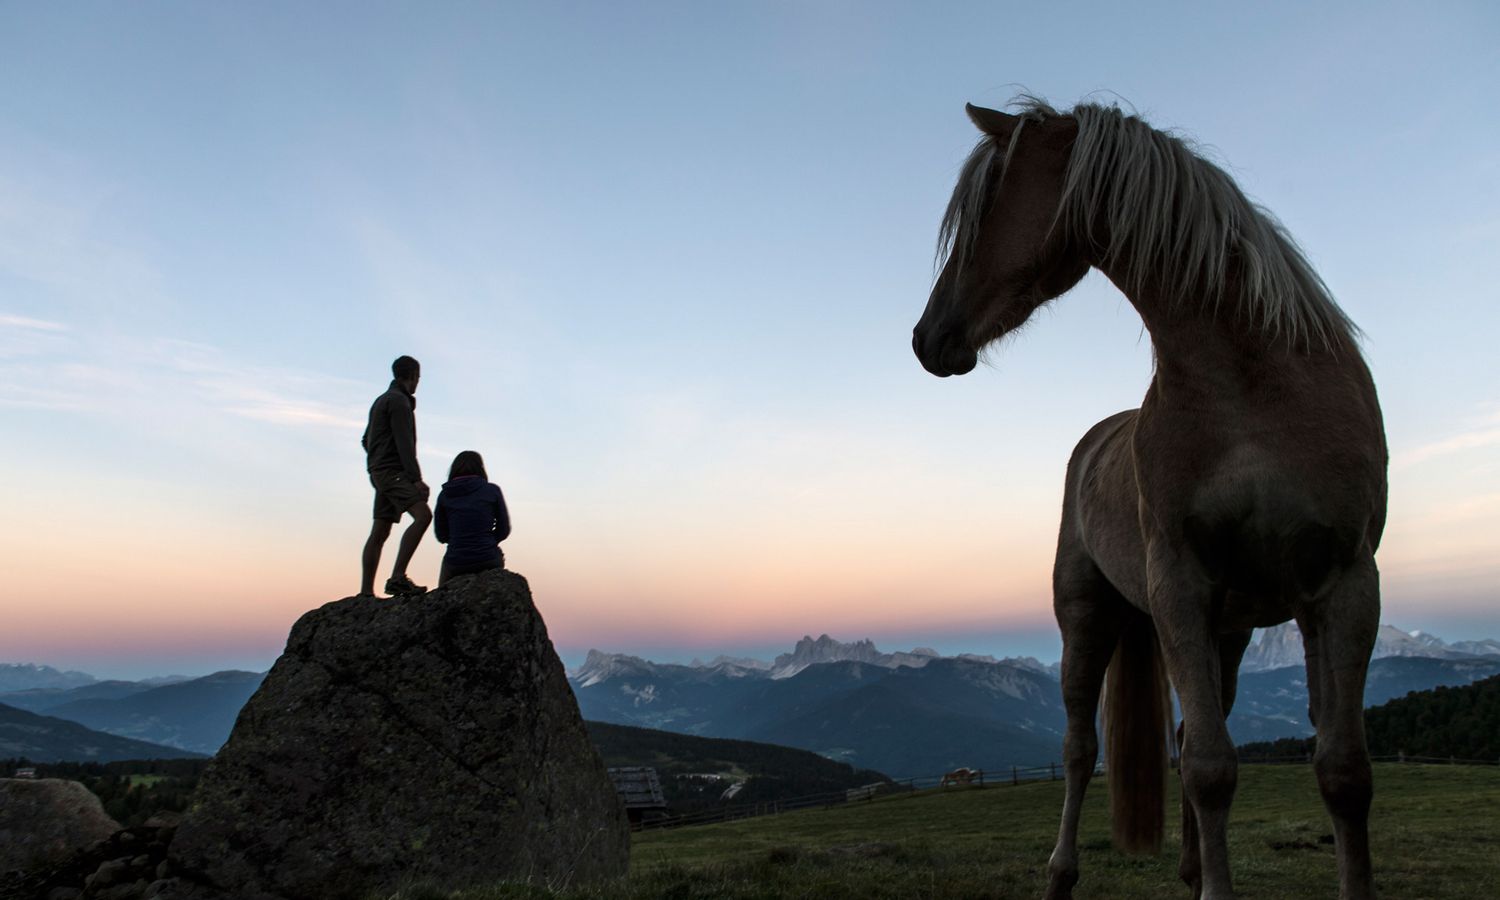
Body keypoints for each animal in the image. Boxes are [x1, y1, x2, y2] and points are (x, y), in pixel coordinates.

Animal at [912, 94, 1392, 894]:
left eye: (986, 206)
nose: (927, 337)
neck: (1252, 389)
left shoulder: (1344, 585)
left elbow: (1343, 772)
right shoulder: (1179, 586)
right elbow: (1209, 769)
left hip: (1229, 627)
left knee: (1189, 727)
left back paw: (1193, 870)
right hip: (1087, 616)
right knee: (1081, 748)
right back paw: (1061, 875)